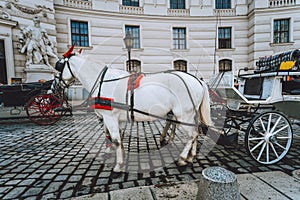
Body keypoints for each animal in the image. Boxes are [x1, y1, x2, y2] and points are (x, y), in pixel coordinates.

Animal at [56, 46, 213, 172]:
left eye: (58, 65)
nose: (55, 84)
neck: (102, 81)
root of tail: (198, 81)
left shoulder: (109, 116)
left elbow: (116, 139)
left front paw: (118, 165)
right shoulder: (115, 118)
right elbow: (118, 137)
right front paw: (121, 156)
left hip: (183, 115)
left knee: (192, 134)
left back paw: (182, 158)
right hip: (189, 115)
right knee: (195, 132)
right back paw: (191, 156)